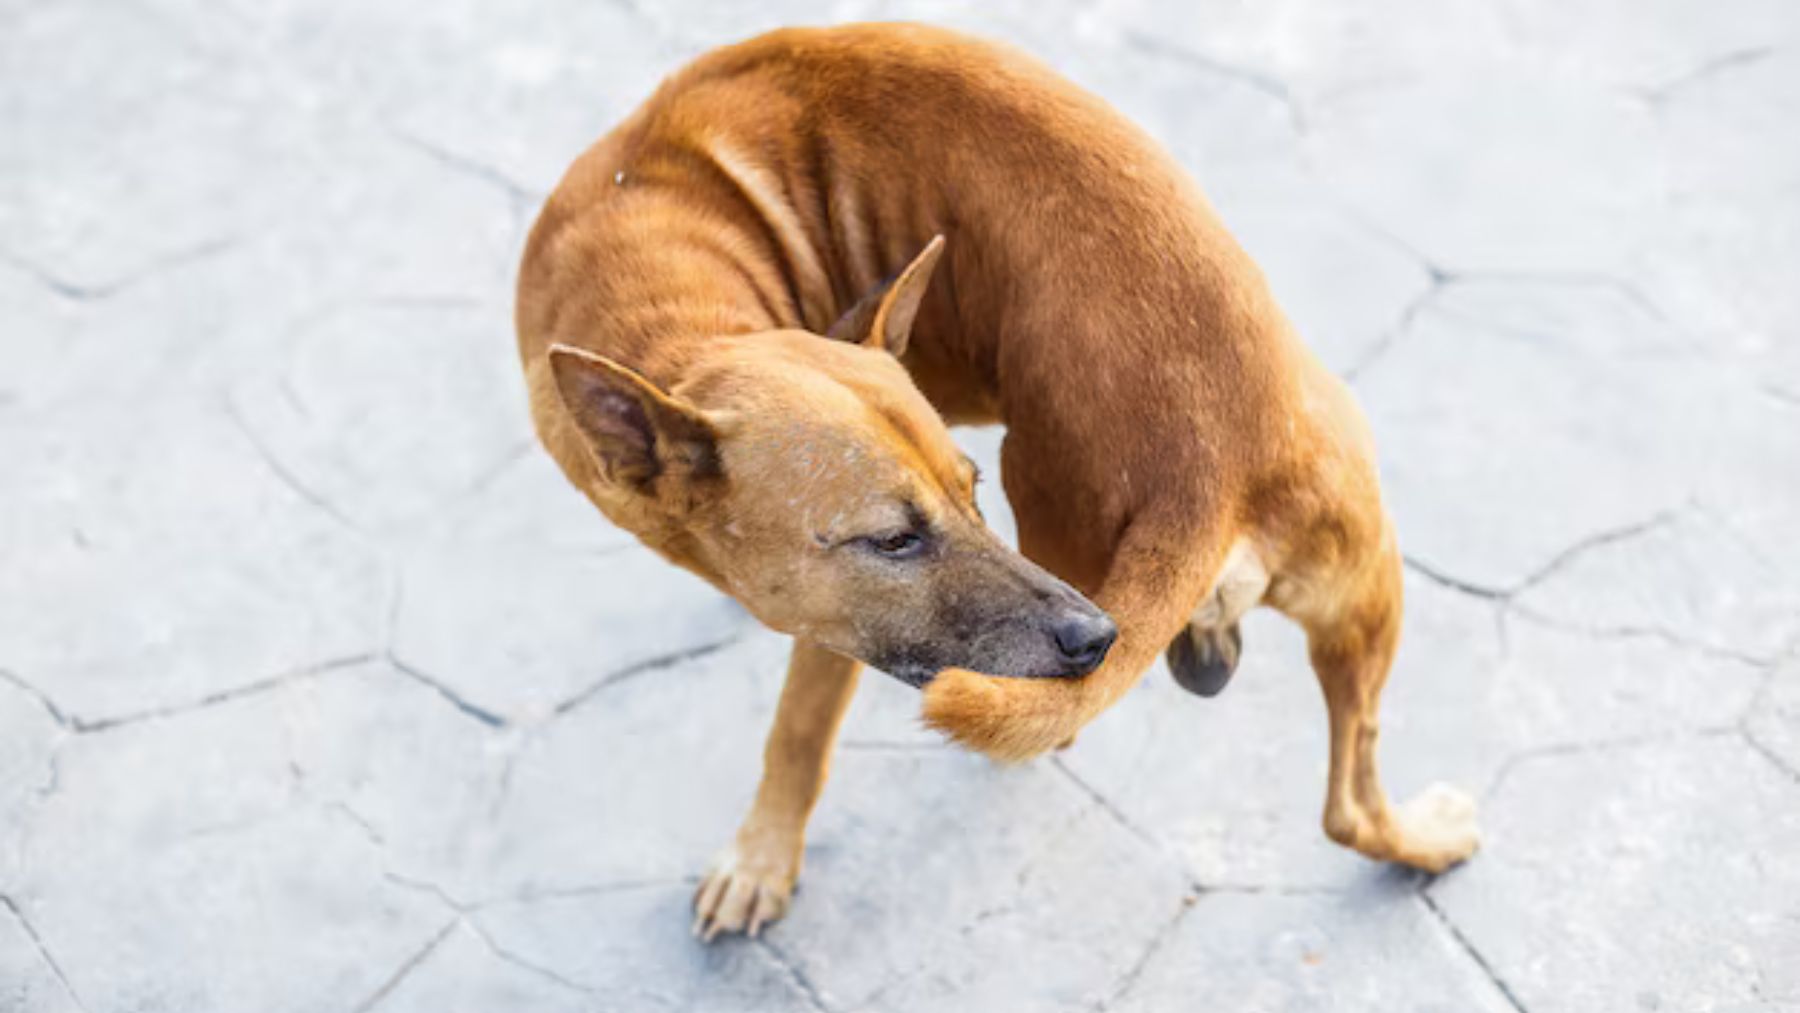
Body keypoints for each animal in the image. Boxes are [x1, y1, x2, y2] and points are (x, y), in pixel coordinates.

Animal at [518, 23, 1476, 942]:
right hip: (1355, 591)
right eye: (895, 538)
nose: (1096, 636)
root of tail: (1213, 458)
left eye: (969, 491)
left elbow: (794, 732)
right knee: (1348, 804)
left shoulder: (835, 633)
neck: (671, 301)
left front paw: (760, 859)